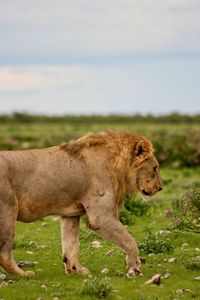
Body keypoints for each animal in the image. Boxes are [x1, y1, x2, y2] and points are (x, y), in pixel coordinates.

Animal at [0, 131, 162, 276]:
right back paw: (23, 274)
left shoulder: (70, 214)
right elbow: (130, 241)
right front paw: (134, 267)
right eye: (155, 169)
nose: (160, 188)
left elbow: (71, 245)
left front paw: (77, 270)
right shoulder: (100, 217)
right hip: (8, 211)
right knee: (4, 253)